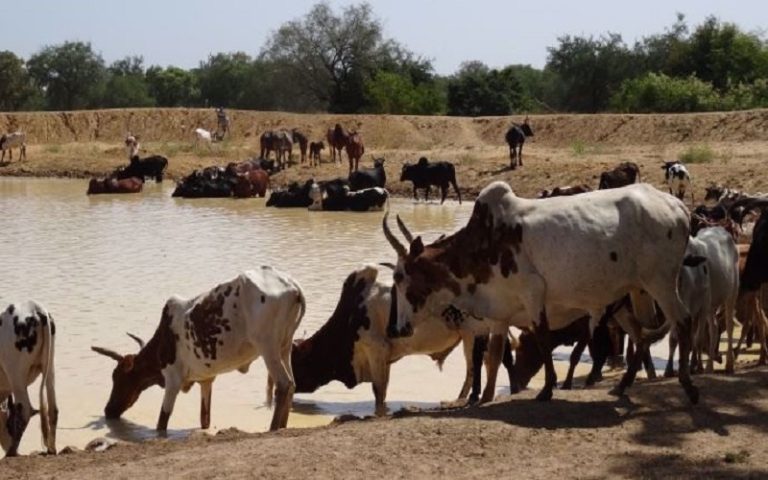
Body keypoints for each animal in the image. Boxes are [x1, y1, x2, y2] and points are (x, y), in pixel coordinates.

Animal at [0, 300, 57, 458]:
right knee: (53, 409)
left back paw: (12, 451)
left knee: (25, 409)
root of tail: (36, 308)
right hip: (49, 369)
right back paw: (51, 449)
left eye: (8, 424)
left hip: (16, 377)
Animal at [91, 266, 304, 432]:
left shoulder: (172, 380)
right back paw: (283, 427)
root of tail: (293, 286)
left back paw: (273, 428)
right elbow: (205, 420)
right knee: (292, 384)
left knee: (283, 384)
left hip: (268, 349)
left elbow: (162, 422)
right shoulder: (206, 380)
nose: (108, 410)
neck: (163, 339)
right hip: (285, 348)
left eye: (118, 377)